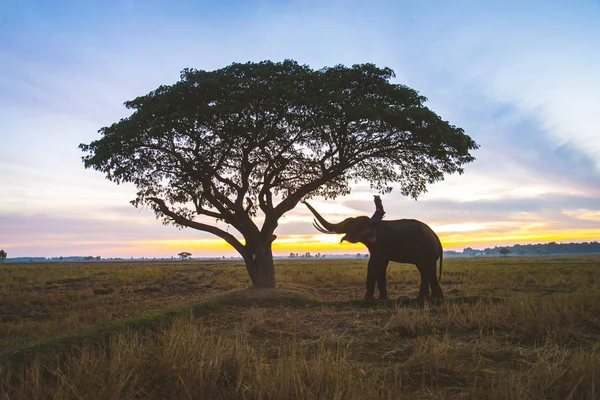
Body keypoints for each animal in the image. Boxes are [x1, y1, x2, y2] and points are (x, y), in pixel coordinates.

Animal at [304, 202, 440, 302]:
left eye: (348, 226)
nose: (303, 200)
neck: (371, 222)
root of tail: (436, 238)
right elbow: (381, 266)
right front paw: (382, 299)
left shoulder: (380, 244)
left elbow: (374, 264)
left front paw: (366, 299)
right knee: (429, 270)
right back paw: (435, 298)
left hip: (425, 250)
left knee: (425, 270)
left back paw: (422, 299)